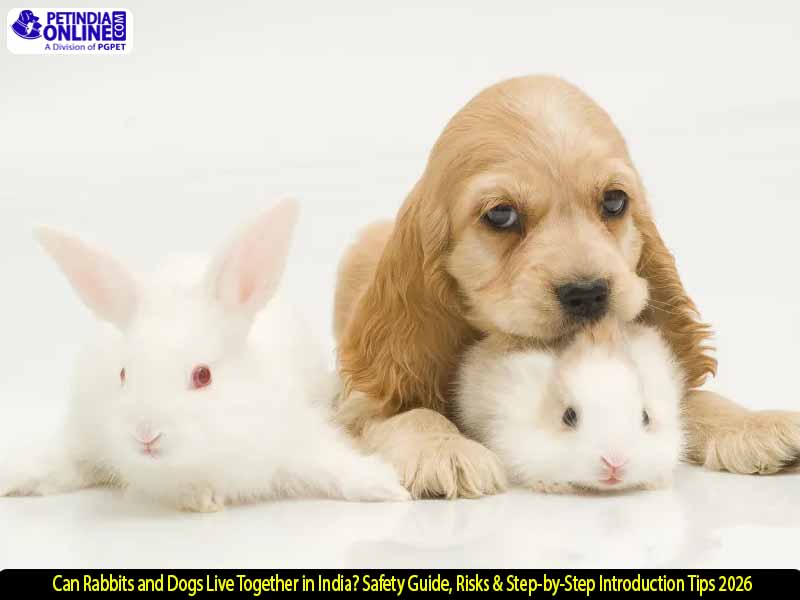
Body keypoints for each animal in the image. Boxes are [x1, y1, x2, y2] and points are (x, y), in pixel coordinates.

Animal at [0, 199, 409, 511]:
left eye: (203, 375)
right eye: (123, 374)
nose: (146, 434)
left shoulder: (295, 436)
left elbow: (334, 463)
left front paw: (388, 489)